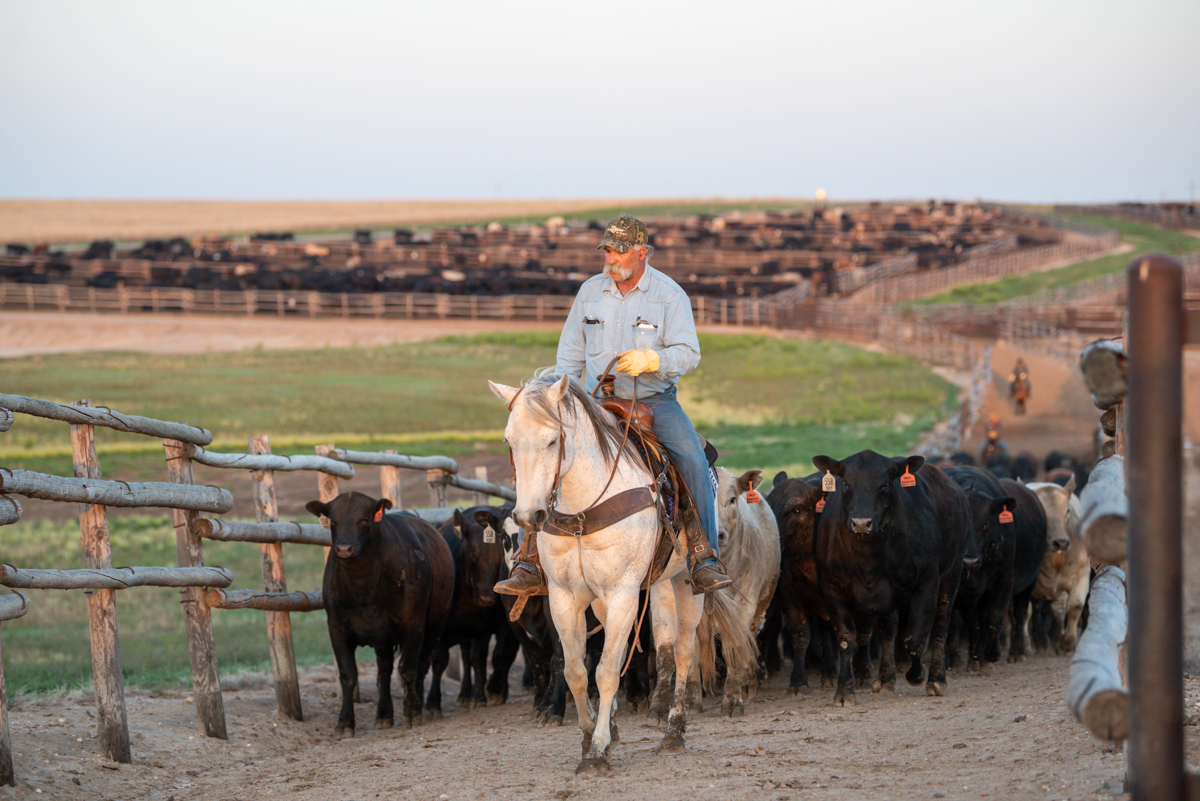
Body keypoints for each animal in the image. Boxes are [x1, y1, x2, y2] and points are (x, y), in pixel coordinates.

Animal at [307, 491, 456, 733]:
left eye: (365, 519)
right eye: (333, 520)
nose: (344, 549)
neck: (364, 589)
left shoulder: (414, 625)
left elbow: (408, 669)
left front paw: (412, 712)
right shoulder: (337, 628)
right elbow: (348, 674)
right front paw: (345, 722)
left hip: (434, 625)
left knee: (422, 664)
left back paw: (420, 704)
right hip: (383, 638)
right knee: (385, 670)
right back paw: (384, 713)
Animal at [484, 376, 748, 777]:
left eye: (552, 440)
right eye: (509, 440)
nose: (530, 516)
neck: (583, 509)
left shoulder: (624, 593)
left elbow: (607, 671)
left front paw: (595, 753)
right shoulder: (565, 598)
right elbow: (577, 671)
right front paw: (591, 736)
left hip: (685, 584)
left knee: (683, 652)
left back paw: (674, 732)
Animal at [715, 465, 782, 714]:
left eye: (732, 499)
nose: (718, 535)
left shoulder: (747, 603)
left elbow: (735, 646)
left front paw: (733, 698)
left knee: (749, 638)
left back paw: (747, 681)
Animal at [811, 450, 969, 705]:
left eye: (885, 484)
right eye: (846, 483)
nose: (861, 523)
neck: (869, 560)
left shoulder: (927, 582)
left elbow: (915, 637)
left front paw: (917, 674)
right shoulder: (831, 587)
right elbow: (846, 640)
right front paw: (844, 691)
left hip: (951, 575)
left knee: (940, 626)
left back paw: (936, 679)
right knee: (888, 630)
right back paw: (885, 678)